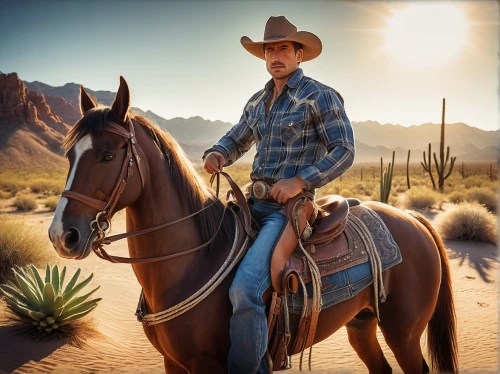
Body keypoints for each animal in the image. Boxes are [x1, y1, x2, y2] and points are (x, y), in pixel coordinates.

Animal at [47, 76, 458, 374]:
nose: (62, 235)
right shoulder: (172, 363)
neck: (193, 263)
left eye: (107, 155)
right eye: (68, 155)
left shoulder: (207, 366)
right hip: (361, 323)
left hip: (404, 333)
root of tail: (412, 219)